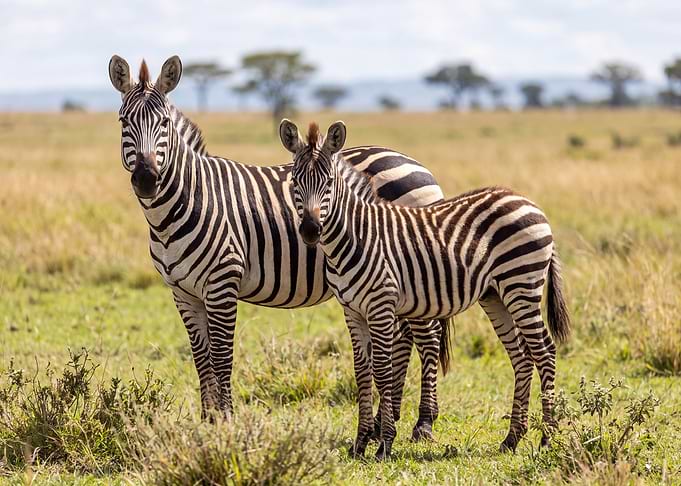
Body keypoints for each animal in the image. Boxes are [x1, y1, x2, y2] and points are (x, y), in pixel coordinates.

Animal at [107, 55, 450, 439]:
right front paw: (208, 423)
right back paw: (383, 422)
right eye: (123, 121)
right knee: (405, 338)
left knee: (428, 337)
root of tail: (414, 162)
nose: (147, 179)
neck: (185, 201)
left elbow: (222, 357)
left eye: (164, 123)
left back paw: (424, 422)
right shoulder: (182, 291)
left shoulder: (222, 282)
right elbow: (201, 357)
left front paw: (226, 423)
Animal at [280, 119, 571, 460]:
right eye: (295, 182)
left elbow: (382, 370)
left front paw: (384, 443)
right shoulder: (352, 311)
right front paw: (360, 443)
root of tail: (529, 202)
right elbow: (361, 371)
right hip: (496, 295)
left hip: (521, 284)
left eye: (328, 182)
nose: (310, 230)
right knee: (522, 356)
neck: (355, 235)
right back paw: (512, 438)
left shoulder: (380, 305)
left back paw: (547, 437)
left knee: (545, 352)